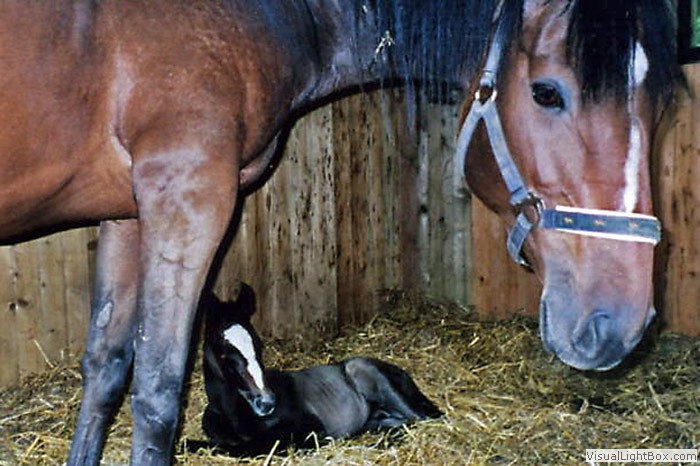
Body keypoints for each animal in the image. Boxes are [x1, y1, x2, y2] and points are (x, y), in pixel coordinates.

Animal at [199, 284, 442, 455]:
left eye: (259, 345)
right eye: (223, 352)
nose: (266, 401)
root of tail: (403, 373)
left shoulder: (310, 428)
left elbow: (249, 447)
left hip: (371, 376)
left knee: (426, 419)